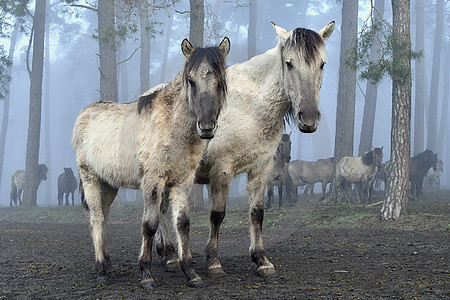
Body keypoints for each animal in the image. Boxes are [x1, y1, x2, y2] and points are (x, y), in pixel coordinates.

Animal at [73, 37, 232, 288]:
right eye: (191, 80)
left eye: (220, 82)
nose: (206, 127)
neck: (172, 127)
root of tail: (84, 115)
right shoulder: (152, 181)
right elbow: (149, 225)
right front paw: (146, 274)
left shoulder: (182, 182)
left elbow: (182, 223)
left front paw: (191, 273)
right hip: (90, 178)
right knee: (96, 218)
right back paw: (101, 270)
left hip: (109, 184)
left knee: (103, 217)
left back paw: (108, 264)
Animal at [155, 21, 334, 276]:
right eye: (289, 63)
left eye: (322, 64)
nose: (308, 118)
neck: (251, 107)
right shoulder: (222, 170)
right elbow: (217, 215)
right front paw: (213, 261)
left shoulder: (261, 169)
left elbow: (257, 213)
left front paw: (261, 260)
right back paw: (170, 255)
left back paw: (164, 252)